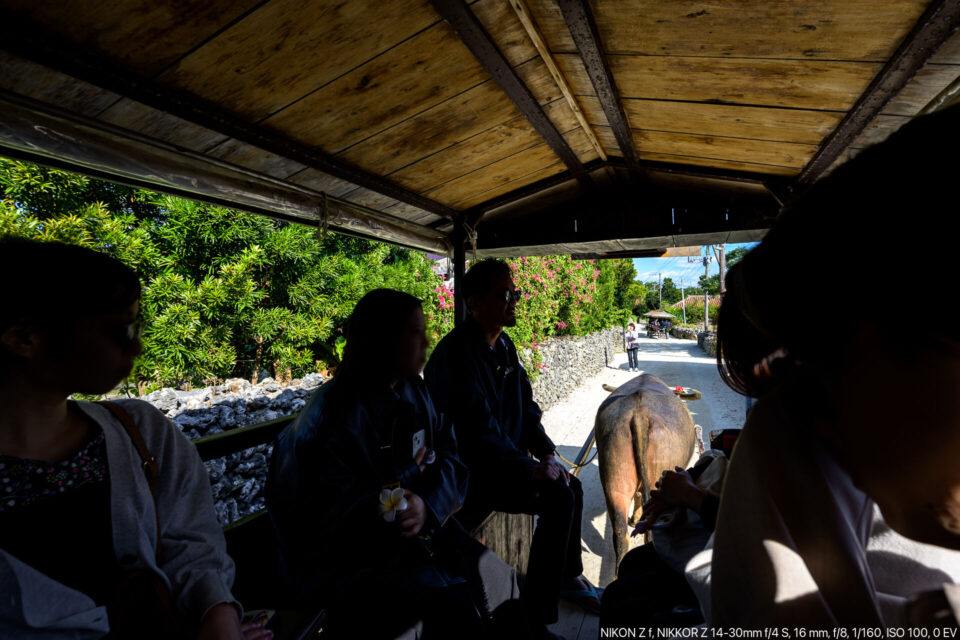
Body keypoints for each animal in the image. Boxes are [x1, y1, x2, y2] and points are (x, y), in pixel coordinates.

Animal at [592, 372, 696, 572]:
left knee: (620, 535)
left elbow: (639, 494)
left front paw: (635, 516)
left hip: (614, 479)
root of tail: (639, 415)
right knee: (649, 534)